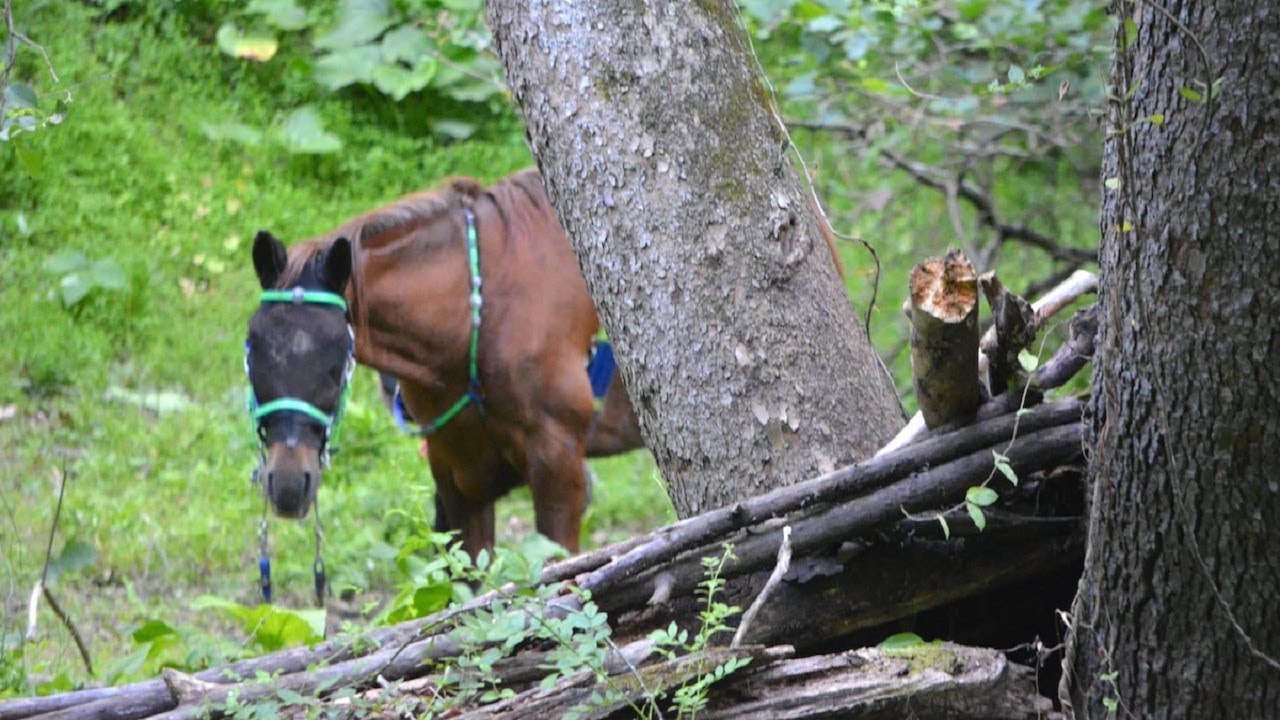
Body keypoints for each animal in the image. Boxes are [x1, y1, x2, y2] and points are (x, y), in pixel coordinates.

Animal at [244, 168, 644, 559]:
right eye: (252, 353)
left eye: (337, 361)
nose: (288, 482)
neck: (484, 315)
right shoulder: (458, 474)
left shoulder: (558, 468)